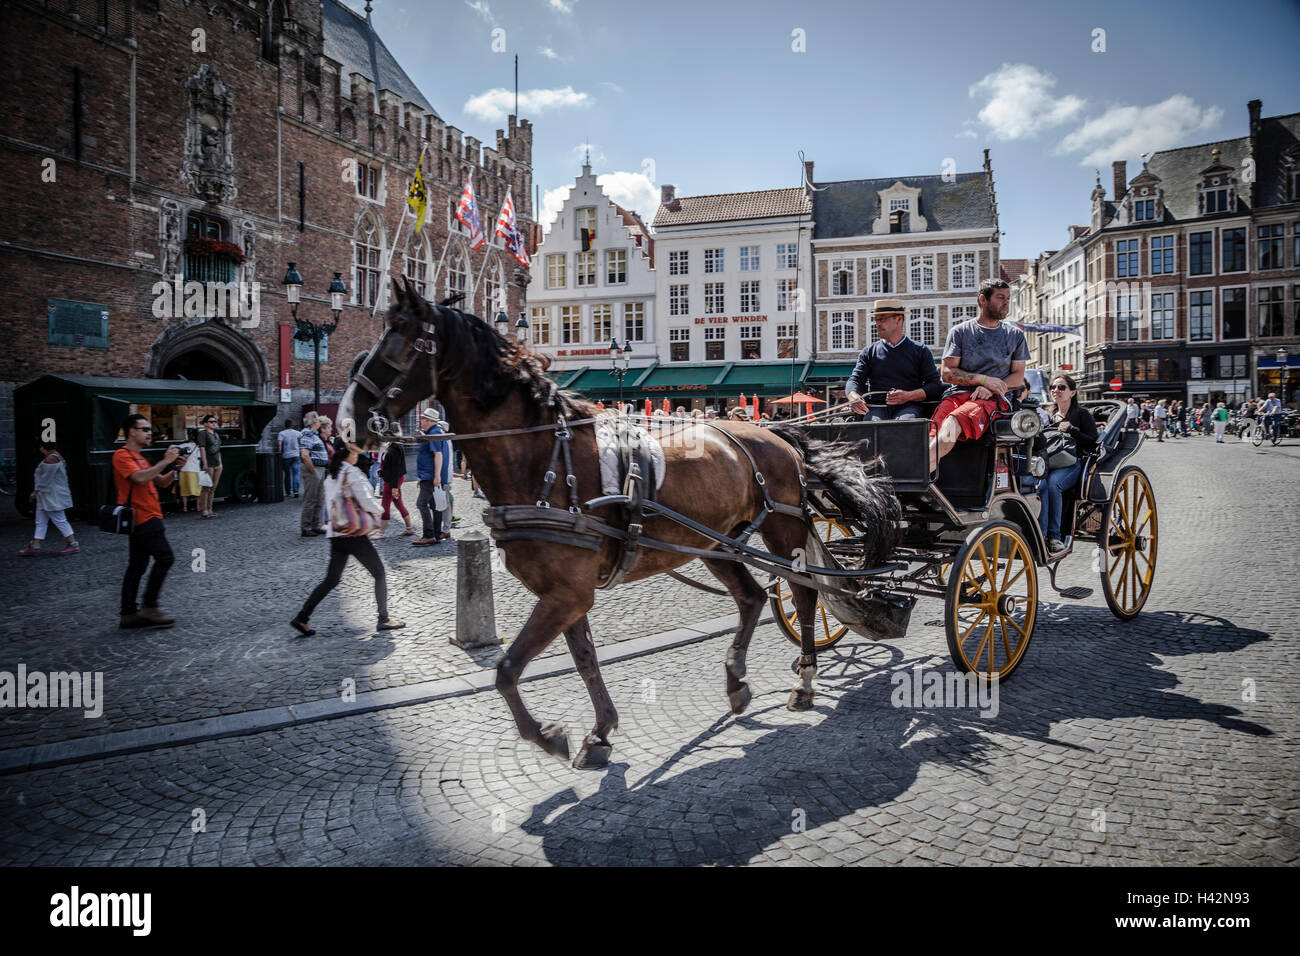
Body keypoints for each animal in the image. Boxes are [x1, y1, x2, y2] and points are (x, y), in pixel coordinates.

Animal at [340, 280, 899, 775]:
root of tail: (777, 433)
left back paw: (804, 682)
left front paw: (550, 735)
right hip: (715, 545)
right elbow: (581, 659)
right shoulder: (565, 592)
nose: (348, 422)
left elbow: (506, 670)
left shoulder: (566, 593)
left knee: (802, 595)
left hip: (783, 533)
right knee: (753, 598)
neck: (545, 461)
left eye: (401, 338)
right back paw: (737, 683)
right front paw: (599, 733)